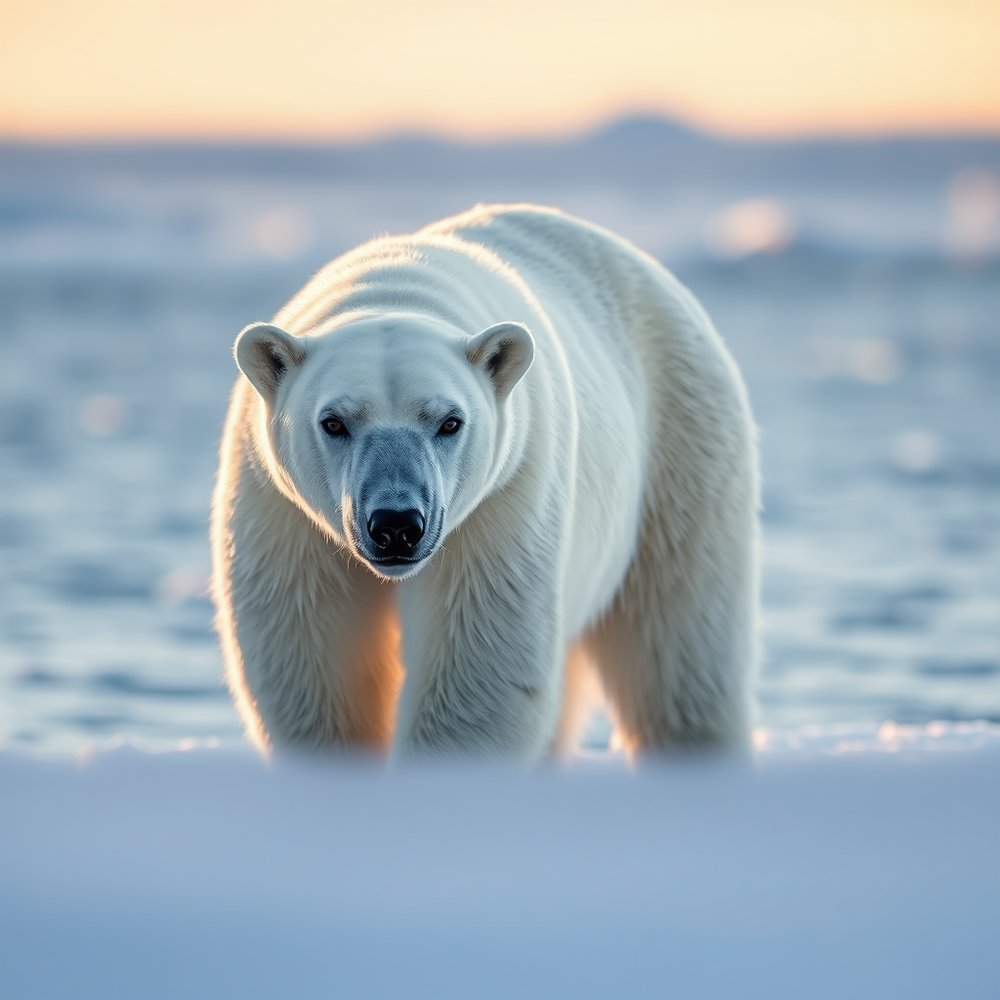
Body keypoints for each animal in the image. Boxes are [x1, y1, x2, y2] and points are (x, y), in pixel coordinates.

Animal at [211, 203, 759, 759]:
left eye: (450, 421)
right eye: (334, 422)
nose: (396, 525)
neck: (396, 286)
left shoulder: (505, 501)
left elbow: (481, 665)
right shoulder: (281, 515)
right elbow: (312, 661)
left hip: (681, 455)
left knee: (676, 650)